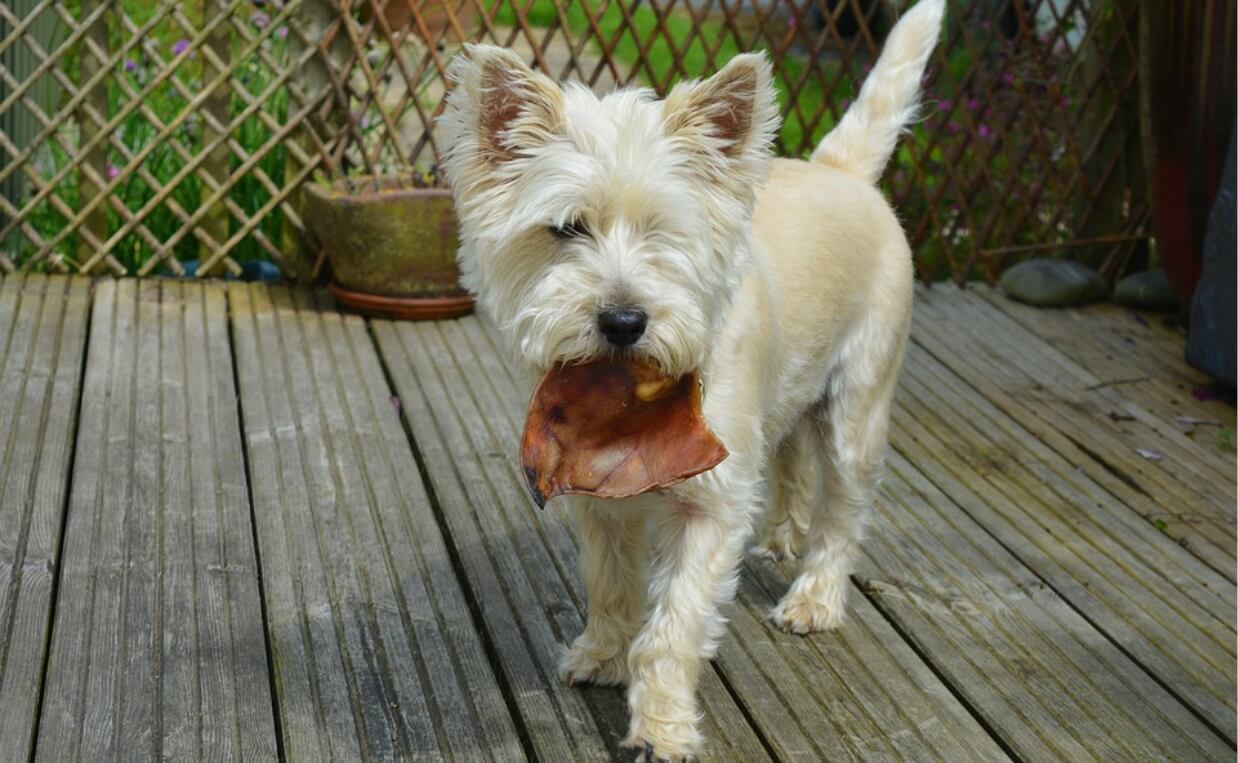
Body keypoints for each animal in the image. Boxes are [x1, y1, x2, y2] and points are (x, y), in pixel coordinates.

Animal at [445, 2, 945, 758]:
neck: (629, 402)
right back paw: (781, 537)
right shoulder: (596, 497)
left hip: (857, 405)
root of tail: (843, 172)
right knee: (793, 462)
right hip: (792, 394)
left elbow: (675, 622)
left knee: (843, 508)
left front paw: (662, 726)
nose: (623, 320)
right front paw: (602, 654)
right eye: (565, 228)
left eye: (664, 232)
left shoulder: (712, 502)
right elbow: (609, 581)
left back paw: (814, 597)